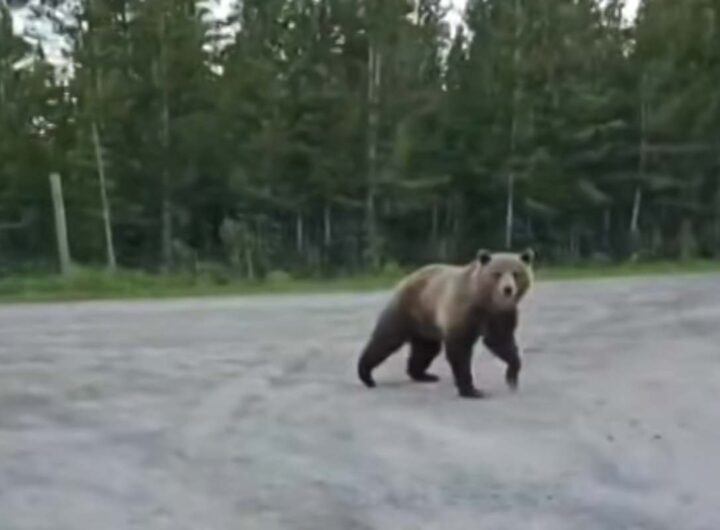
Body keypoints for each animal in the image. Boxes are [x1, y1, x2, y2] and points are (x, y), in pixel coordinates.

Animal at [356, 248, 534, 398]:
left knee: (426, 350)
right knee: (386, 339)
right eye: (497, 274)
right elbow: (460, 349)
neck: (486, 302)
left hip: (426, 323)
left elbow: (501, 341)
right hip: (408, 308)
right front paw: (472, 390)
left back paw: (423, 375)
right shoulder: (463, 310)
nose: (507, 289)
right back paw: (366, 375)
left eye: (516, 273)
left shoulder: (501, 314)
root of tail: (409, 277)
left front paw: (512, 376)